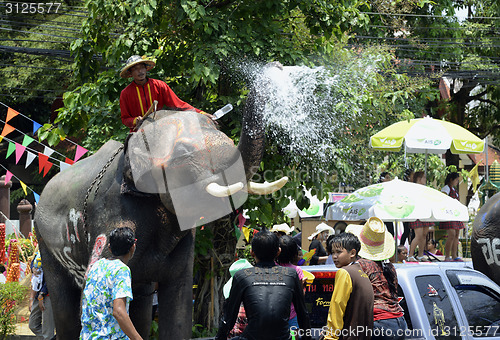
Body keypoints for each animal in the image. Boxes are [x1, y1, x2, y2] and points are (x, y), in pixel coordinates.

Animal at [34, 66, 286, 340]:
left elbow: (180, 301)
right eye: (184, 153)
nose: (277, 67)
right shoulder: (109, 211)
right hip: (45, 241)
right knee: (64, 302)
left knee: (141, 299)